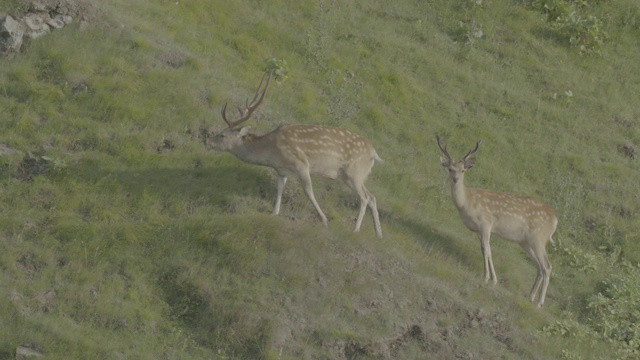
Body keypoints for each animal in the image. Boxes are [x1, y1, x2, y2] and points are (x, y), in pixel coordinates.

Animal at [208, 71, 382, 238]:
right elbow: (280, 188)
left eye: (222, 135)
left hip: (354, 172)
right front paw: (274, 212)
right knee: (372, 197)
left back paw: (356, 230)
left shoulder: (301, 163)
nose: (207, 140)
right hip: (351, 175)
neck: (272, 152)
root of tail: (373, 153)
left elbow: (308, 191)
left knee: (364, 197)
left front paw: (324, 220)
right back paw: (378, 233)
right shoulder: (281, 170)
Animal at [438, 135, 556, 306]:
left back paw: (540, 302)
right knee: (539, 267)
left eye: (463, 170)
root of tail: (555, 219)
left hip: (538, 238)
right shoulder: (478, 230)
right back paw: (531, 296)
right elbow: (487, 250)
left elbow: (486, 249)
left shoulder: (485, 222)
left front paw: (487, 278)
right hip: (525, 242)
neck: (467, 203)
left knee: (547, 266)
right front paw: (493, 279)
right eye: (450, 169)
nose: (455, 179)